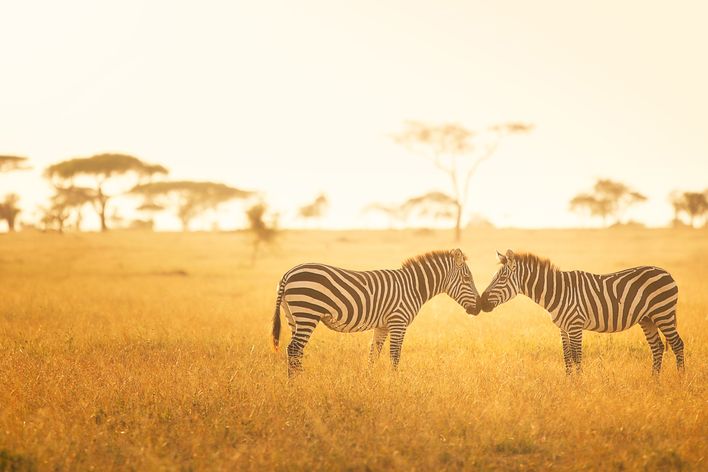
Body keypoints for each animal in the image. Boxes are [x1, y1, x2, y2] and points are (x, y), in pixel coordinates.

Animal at [272, 247, 482, 376]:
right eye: (467, 278)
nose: (479, 307)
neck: (413, 287)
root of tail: (288, 274)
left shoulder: (383, 326)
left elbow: (373, 354)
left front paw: (369, 381)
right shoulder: (399, 322)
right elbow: (395, 354)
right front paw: (395, 384)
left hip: (294, 316)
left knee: (295, 350)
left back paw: (297, 381)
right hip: (308, 312)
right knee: (294, 348)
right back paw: (298, 384)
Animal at [478, 249, 684, 374]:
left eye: (502, 279)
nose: (481, 302)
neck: (559, 291)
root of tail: (667, 273)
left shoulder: (575, 325)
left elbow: (577, 356)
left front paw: (579, 386)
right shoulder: (563, 327)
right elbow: (567, 356)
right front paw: (569, 384)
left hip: (663, 313)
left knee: (677, 345)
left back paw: (680, 381)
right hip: (647, 318)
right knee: (657, 348)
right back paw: (654, 381)